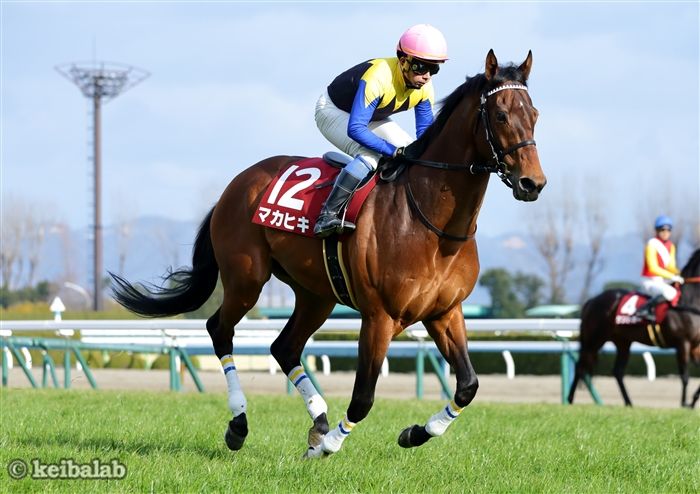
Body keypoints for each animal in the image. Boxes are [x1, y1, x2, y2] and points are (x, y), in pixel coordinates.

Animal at [110, 50, 546, 457]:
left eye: (535, 114)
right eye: (501, 116)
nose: (533, 182)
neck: (432, 225)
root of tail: (235, 186)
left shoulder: (444, 312)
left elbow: (468, 385)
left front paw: (415, 433)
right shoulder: (379, 317)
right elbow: (364, 397)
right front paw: (330, 445)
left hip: (315, 294)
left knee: (283, 346)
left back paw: (318, 417)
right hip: (247, 278)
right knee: (220, 329)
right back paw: (240, 424)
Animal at [568, 248, 700, 408]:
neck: (688, 303)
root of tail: (592, 300)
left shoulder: (695, 346)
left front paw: (692, 402)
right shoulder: (683, 343)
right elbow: (685, 376)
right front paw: (684, 403)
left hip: (622, 342)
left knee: (617, 371)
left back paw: (629, 402)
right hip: (594, 340)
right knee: (580, 367)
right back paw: (569, 400)